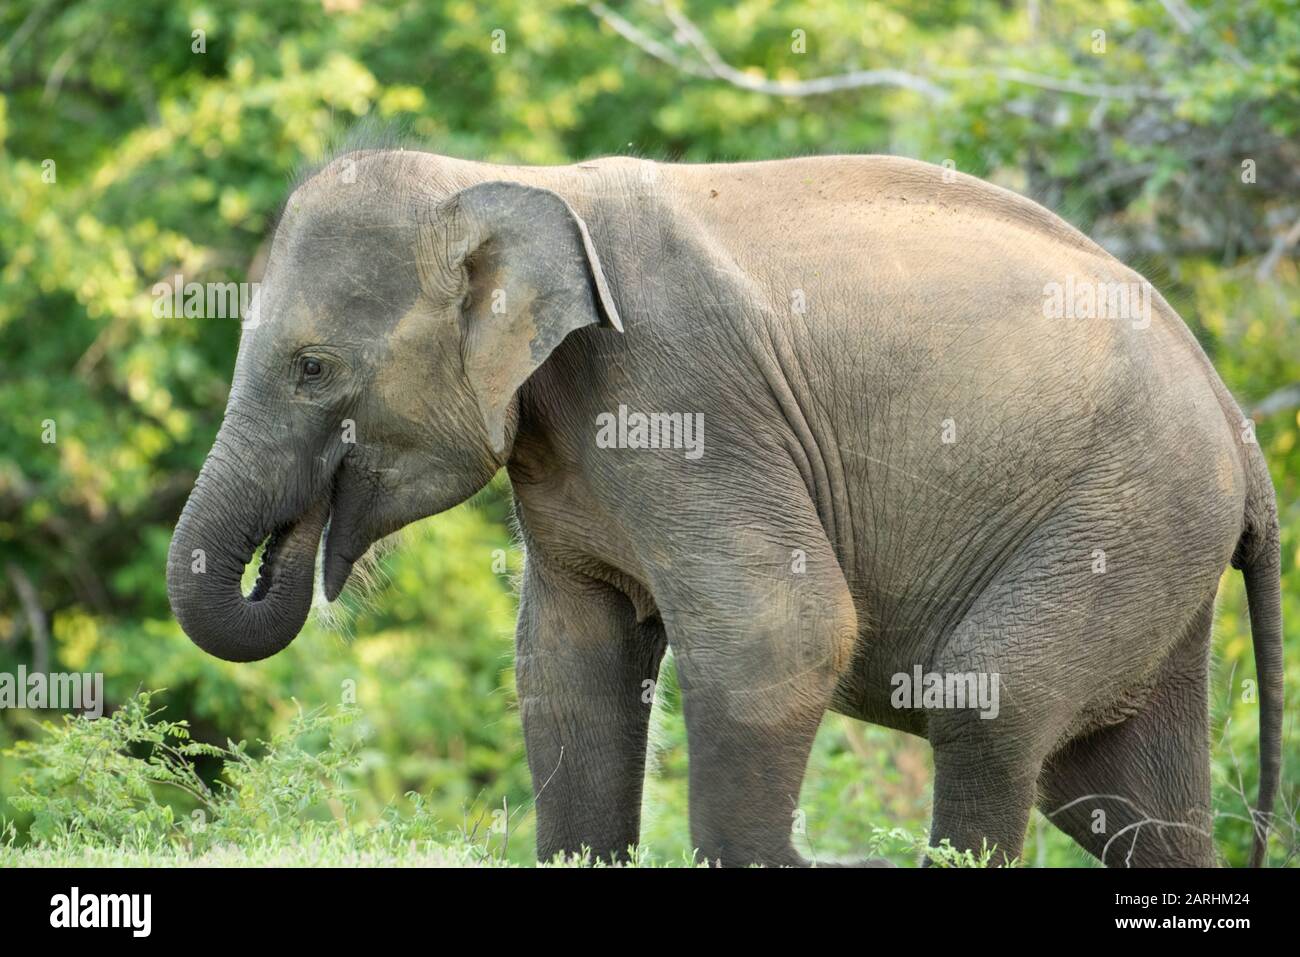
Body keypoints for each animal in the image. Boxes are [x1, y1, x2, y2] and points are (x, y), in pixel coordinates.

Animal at [167, 141, 1284, 868]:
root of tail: (1239, 425)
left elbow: (775, 636)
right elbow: (569, 667)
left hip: (1126, 512)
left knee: (991, 701)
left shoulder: (679, 392)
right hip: (1155, 537)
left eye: (313, 368)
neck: (510, 177)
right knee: (1116, 791)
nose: (302, 545)